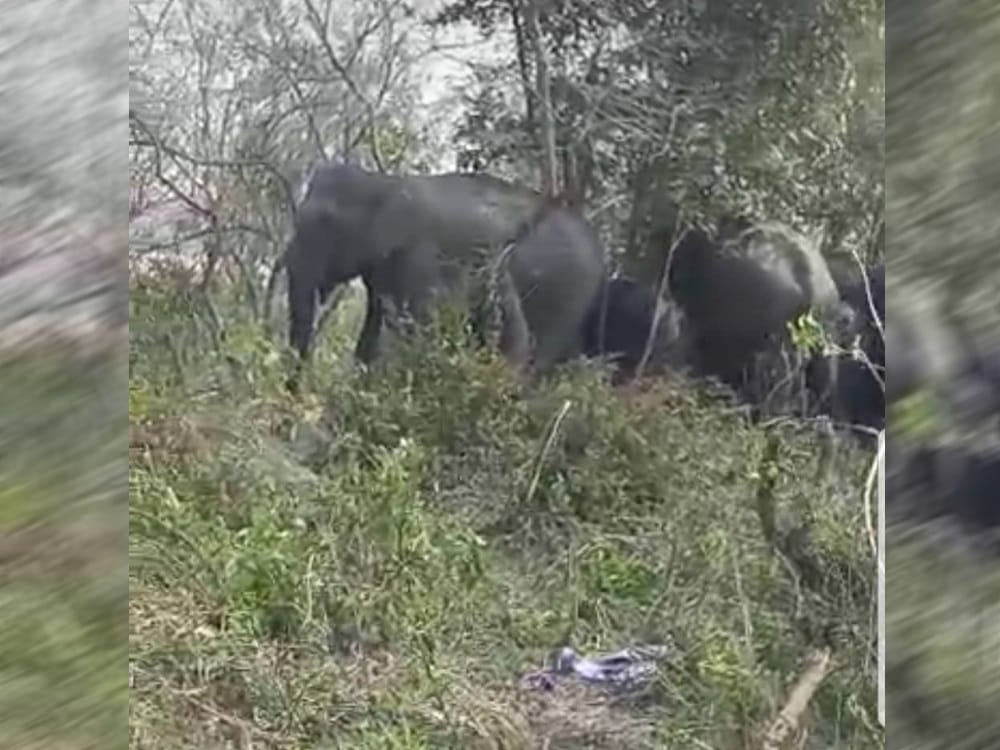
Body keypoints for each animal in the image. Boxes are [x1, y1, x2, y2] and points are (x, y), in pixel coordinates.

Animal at [282, 162, 606, 389]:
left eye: (325, 222)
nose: (295, 390)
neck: (385, 181)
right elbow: (373, 328)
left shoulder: (418, 255)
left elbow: (419, 328)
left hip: (563, 292)